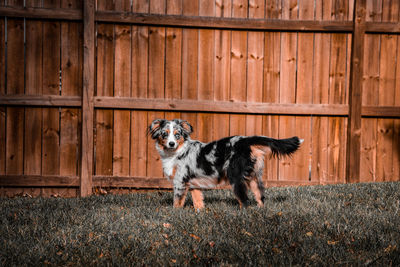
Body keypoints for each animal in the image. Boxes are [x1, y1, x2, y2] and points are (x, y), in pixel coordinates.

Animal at [148, 120, 304, 211]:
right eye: (164, 134)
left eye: (177, 134)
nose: (171, 144)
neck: (176, 152)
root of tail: (245, 140)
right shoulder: (193, 184)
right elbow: (198, 202)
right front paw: (200, 213)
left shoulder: (180, 182)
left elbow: (177, 202)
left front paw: (175, 215)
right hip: (254, 176)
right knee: (260, 196)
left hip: (235, 177)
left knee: (245, 201)